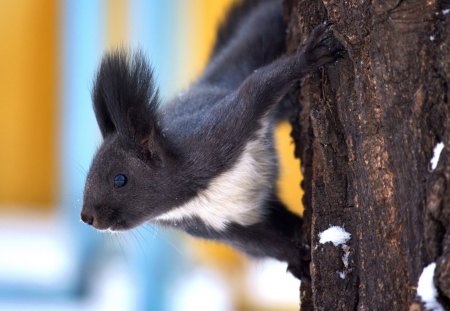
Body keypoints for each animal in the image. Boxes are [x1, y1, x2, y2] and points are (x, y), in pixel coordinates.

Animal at [81, 0, 342, 282]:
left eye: (120, 179)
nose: (87, 217)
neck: (190, 195)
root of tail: (209, 81)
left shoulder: (219, 133)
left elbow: (256, 87)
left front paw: (309, 57)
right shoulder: (210, 227)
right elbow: (259, 244)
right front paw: (296, 258)